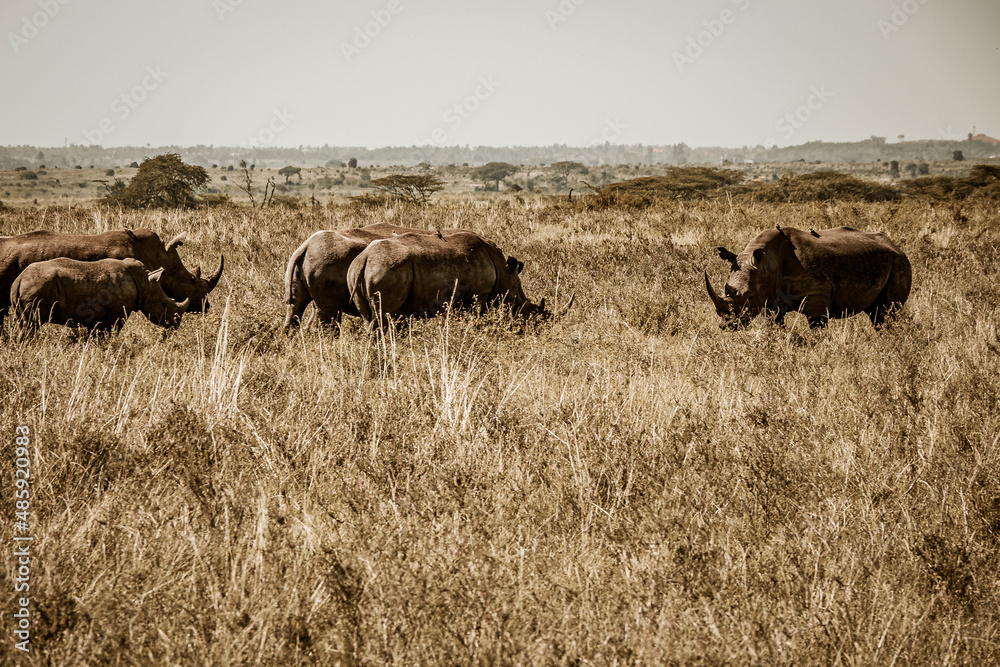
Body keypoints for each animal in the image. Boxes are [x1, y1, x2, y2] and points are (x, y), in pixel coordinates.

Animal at [11, 258, 190, 336]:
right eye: (164, 305)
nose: (176, 325)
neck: (145, 282)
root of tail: (19, 279)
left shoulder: (98, 315)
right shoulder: (118, 313)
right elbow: (111, 333)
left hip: (27, 287)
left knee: (23, 322)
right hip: (39, 286)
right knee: (32, 324)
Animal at [346, 230, 572, 326]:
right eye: (524, 306)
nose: (540, 324)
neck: (504, 272)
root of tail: (364, 258)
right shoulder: (478, 297)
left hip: (357, 271)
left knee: (369, 318)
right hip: (386, 270)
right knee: (382, 318)